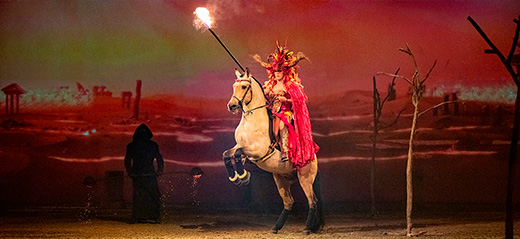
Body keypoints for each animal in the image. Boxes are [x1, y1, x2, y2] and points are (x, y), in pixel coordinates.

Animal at [224, 68, 322, 234]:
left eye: (244, 87)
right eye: (233, 86)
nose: (232, 106)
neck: (252, 120)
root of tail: (313, 157)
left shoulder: (257, 150)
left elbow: (237, 154)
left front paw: (243, 176)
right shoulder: (239, 146)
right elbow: (227, 154)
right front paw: (236, 177)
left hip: (305, 179)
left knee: (312, 201)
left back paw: (307, 228)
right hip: (281, 180)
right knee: (289, 202)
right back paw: (276, 228)